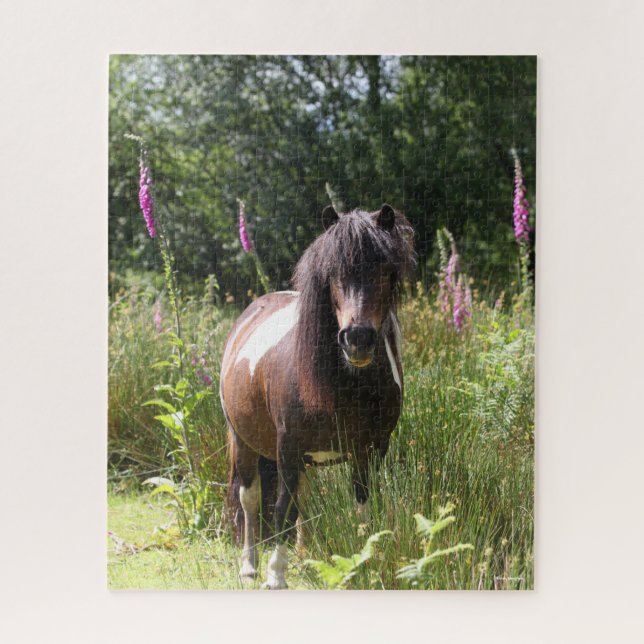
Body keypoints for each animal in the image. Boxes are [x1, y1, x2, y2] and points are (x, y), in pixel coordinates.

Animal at [219, 203, 415, 589]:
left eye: (385, 271)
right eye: (332, 272)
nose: (357, 338)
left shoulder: (371, 450)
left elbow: (362, 505)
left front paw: (365, 561)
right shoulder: (287, 448)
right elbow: (281, 509)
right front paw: (275, 576)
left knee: (302, 500)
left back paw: (303, 555)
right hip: (243, 441)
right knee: (250, 498)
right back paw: (249, 564)